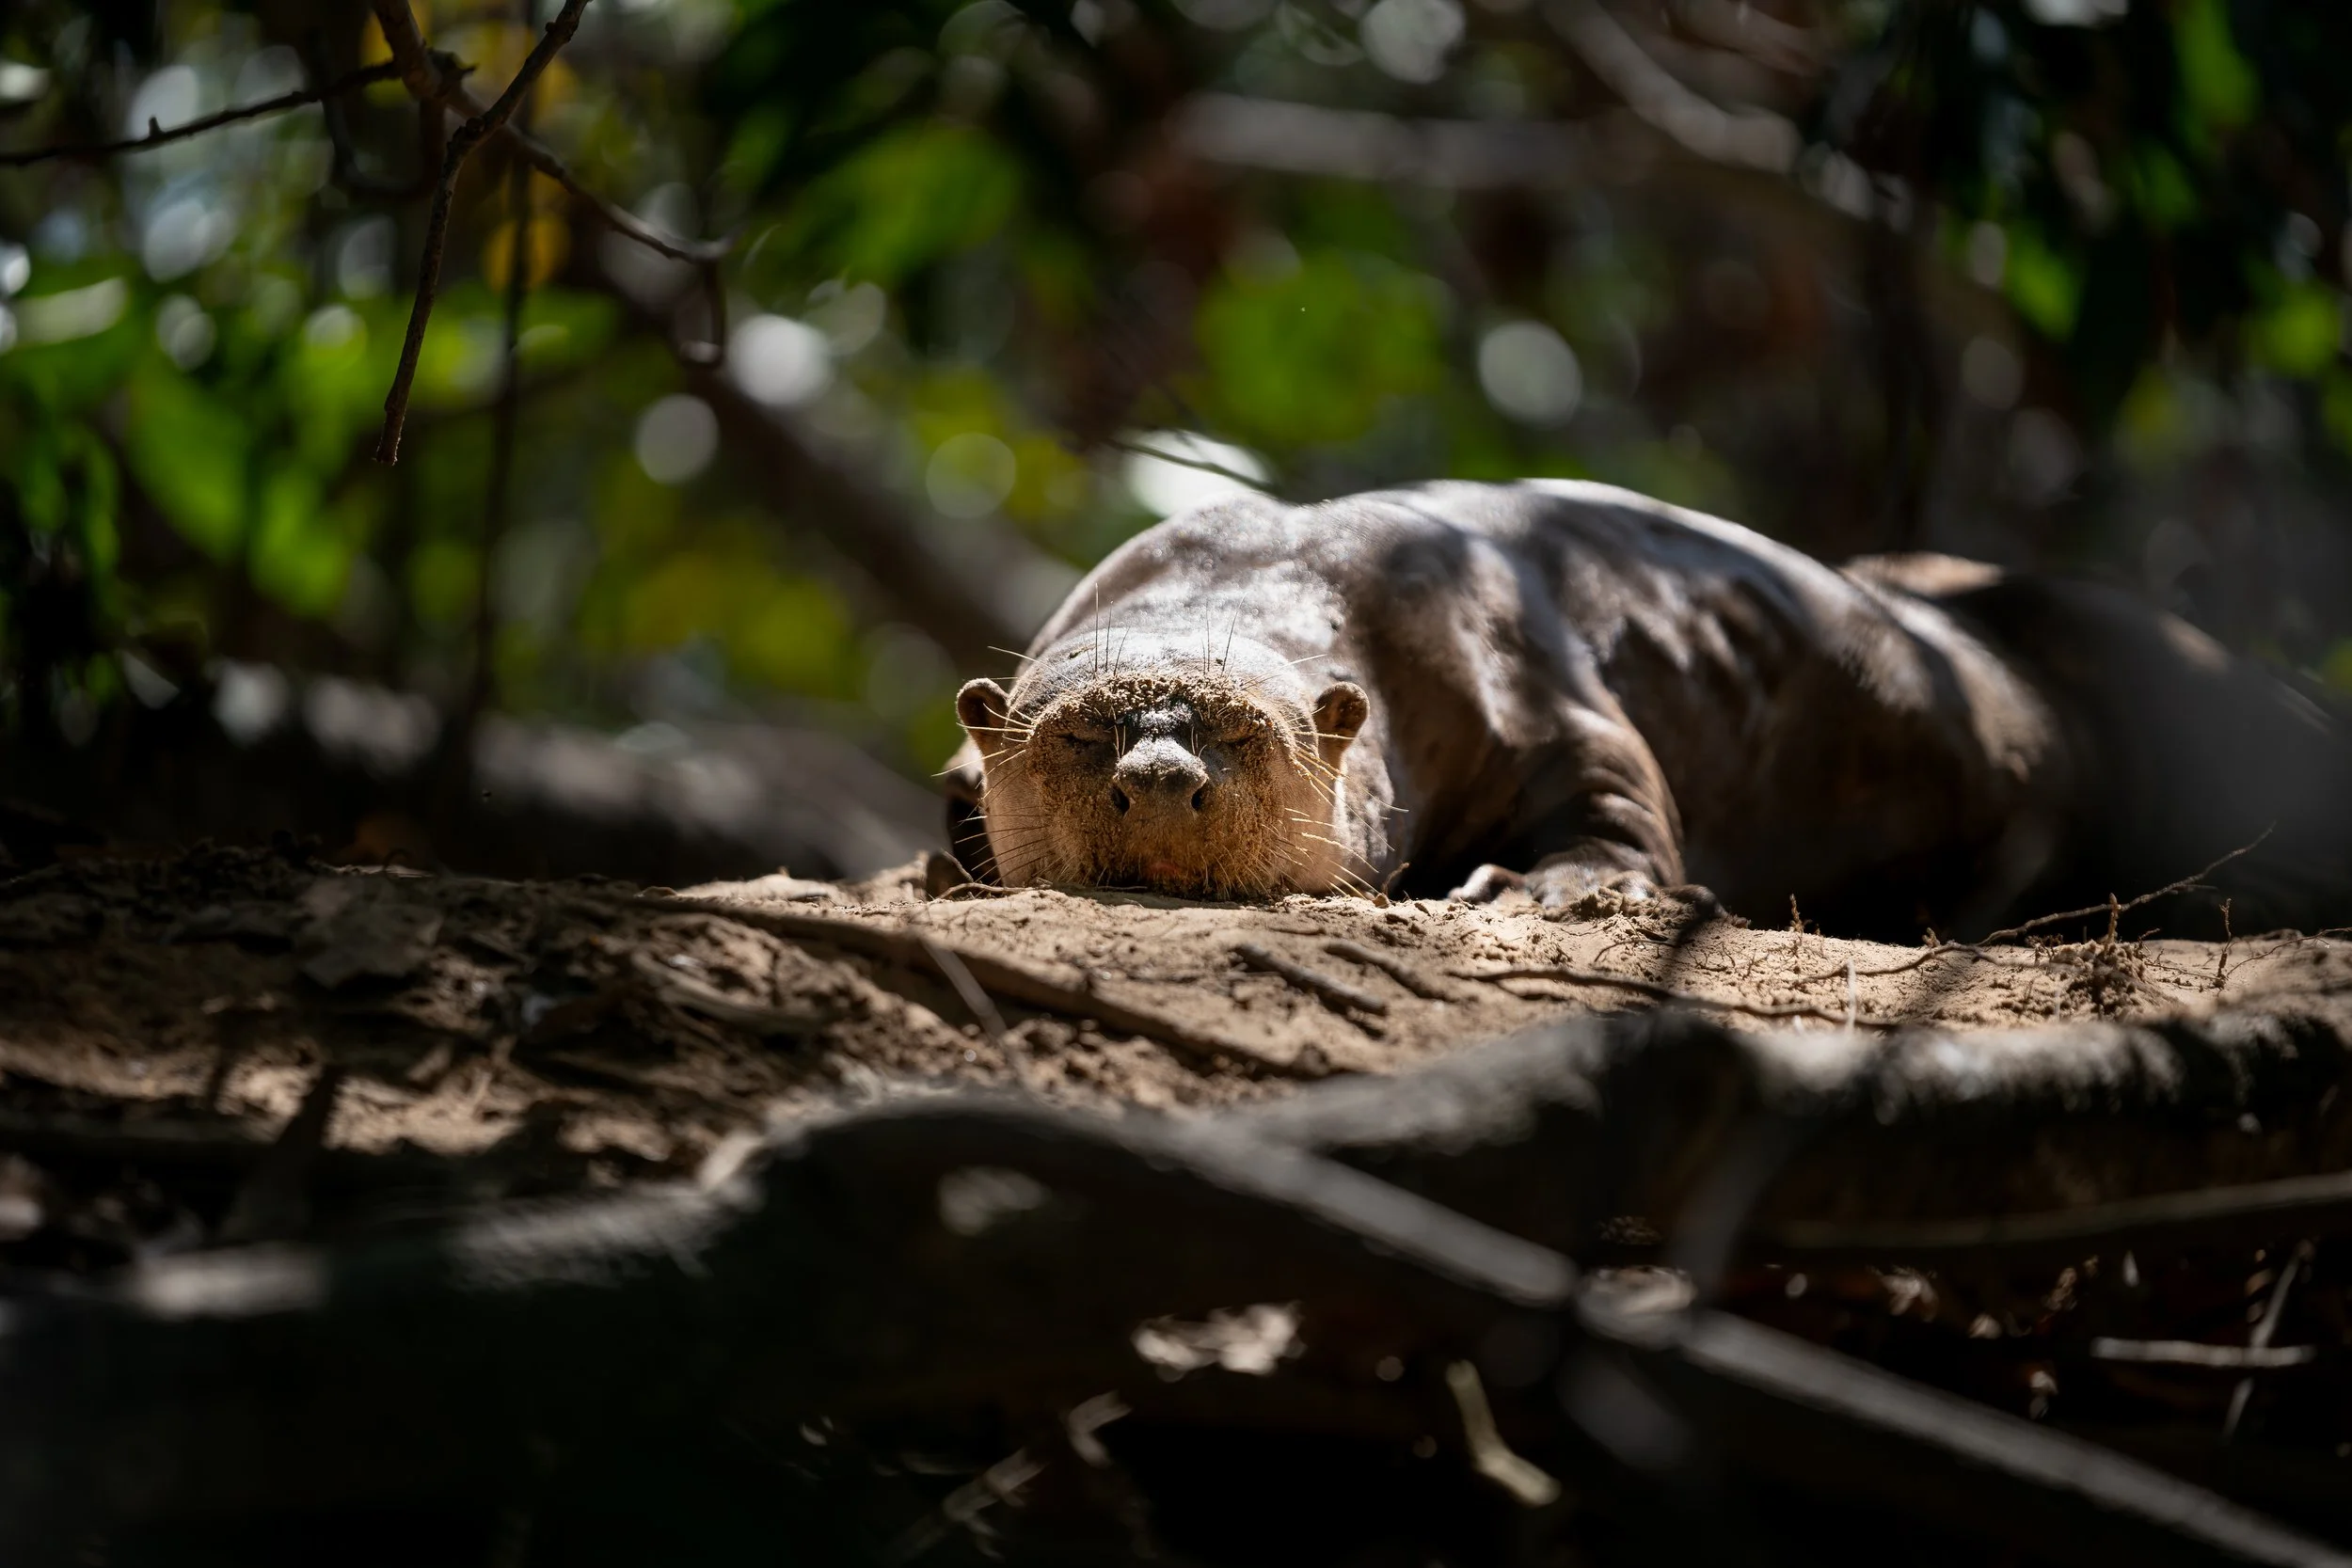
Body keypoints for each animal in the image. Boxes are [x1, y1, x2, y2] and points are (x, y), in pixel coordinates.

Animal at [947, 480, 2352, 938]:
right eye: (1081, 734)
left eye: (1248, 734)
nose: (1162, 780)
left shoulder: (1510, 664)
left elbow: (1617, 796)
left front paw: (1547, 890)